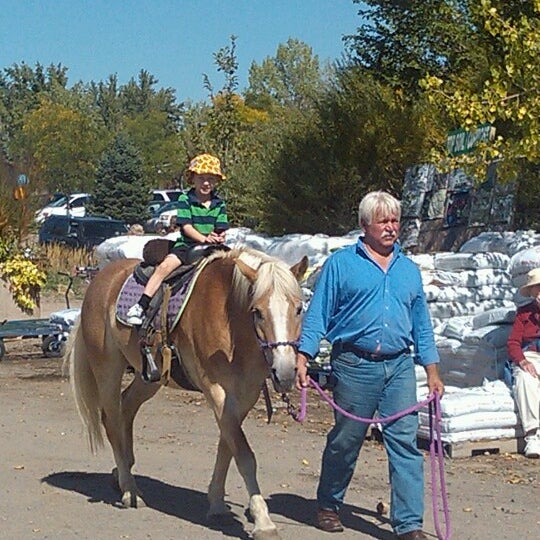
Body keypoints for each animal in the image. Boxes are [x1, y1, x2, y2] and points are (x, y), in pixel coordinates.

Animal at [67, 248, 308, 540]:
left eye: (299, 308)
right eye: (258, 311)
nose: (285, 372)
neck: (231, 322)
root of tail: (100, 280)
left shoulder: (244, 397)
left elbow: (227, 448)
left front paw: (217, 504)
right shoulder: (217, 392)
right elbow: (244, 456)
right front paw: (263, 521)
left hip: (149, 377)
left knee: (127, 408)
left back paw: (123, 472)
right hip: (107, 370)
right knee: (111, 422)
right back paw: (129, 491)